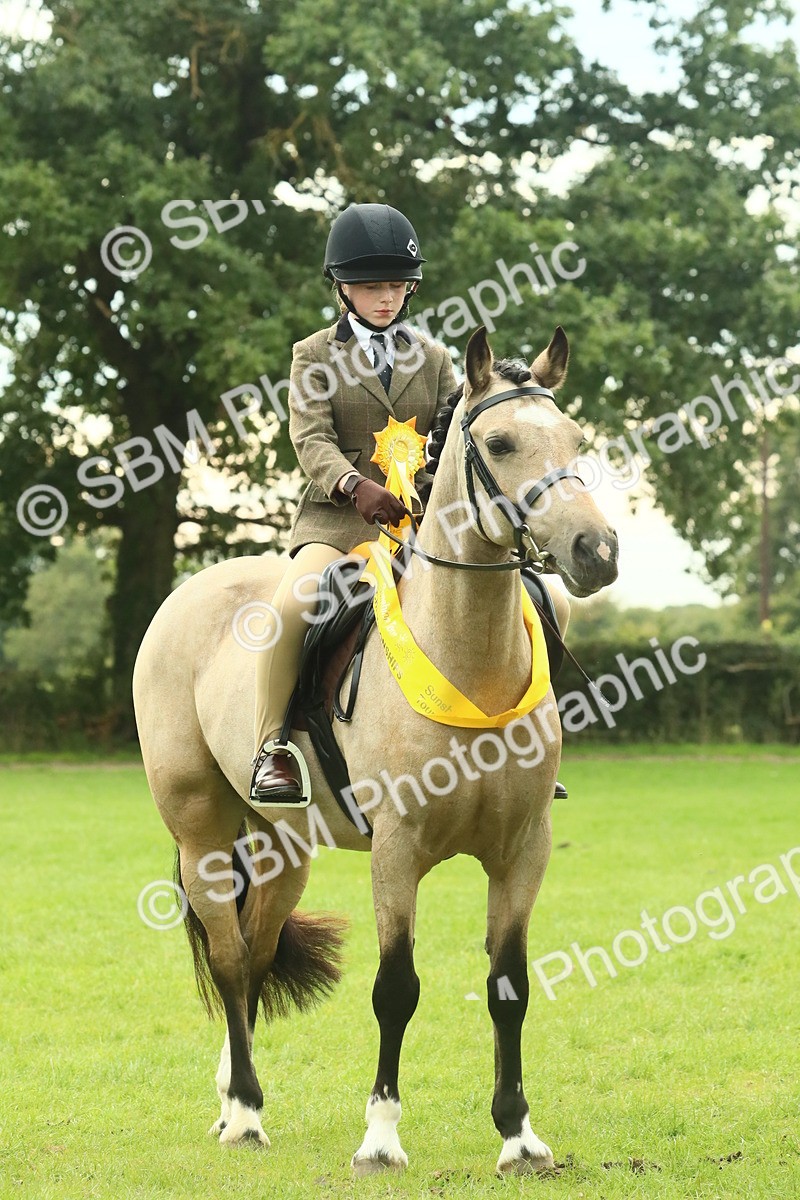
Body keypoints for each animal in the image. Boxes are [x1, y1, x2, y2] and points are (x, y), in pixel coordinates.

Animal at [132, 323, 618, 1176]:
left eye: (574, 440)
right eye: (500, 442)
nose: (596, 551)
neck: (468, 658)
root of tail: (190, 593)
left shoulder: (524, 849)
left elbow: (510, 986)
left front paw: (519, 1136)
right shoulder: (398, 850)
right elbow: (397, 989)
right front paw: (382, 1137)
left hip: (283, 846)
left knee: (254, 954)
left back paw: (233, 1099)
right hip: (201, 833)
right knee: (227, 957)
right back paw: (247, 1112)